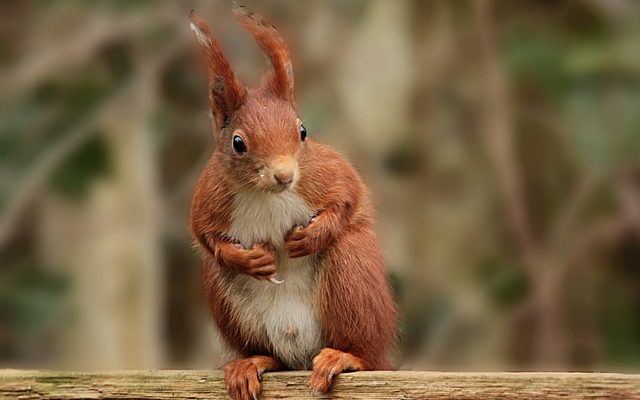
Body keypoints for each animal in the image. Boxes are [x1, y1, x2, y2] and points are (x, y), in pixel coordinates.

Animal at [189, 3, 396, 400]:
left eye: (302, 131)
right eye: (238, 143)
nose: (285, 176)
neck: (268, 194)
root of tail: (301, 352)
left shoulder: (326, 172)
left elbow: (348, 196)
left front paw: (312, 236)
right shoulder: (209, 196)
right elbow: (205, 236)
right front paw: (249, 259)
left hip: (352, 275)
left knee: (364, 351)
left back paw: (346, 357)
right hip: (227, 300)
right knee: (270, 354)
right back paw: (252, 363)